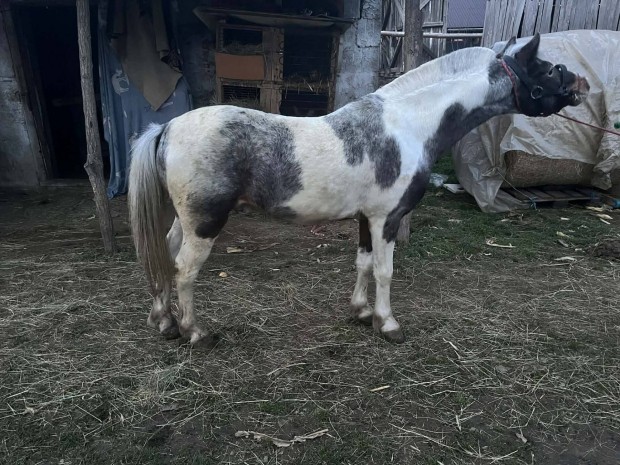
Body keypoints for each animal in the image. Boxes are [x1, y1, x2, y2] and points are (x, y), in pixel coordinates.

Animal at [128, 33, 589, 348]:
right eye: (547, 68)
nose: (582, 85)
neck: (410, 124)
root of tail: (167, 128)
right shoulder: (388, 218)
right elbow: (385, 271)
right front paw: (388, 324)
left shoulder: (368, 218)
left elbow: (364, 264)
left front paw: (361, 312)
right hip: (205, 223)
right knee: (184, 269)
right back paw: (194, 331)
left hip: (183, 220)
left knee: (164, 255)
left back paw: (164, 322)